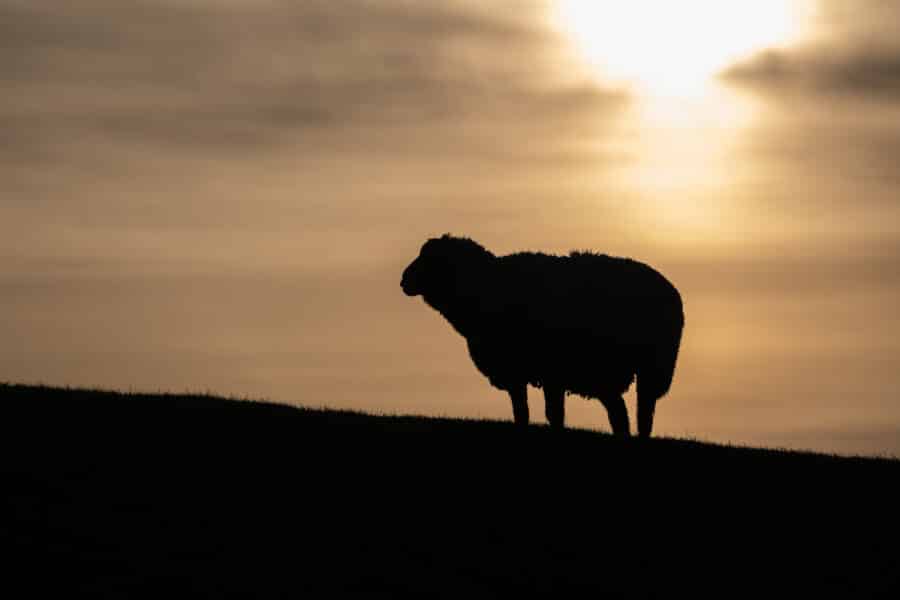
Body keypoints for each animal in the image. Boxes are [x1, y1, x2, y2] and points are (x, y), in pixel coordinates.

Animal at [400, 234, 684, 438]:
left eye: (428, 260)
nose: (403, 281)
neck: (484, 288)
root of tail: (671, 290)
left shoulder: (541, 371)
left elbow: (541, 412)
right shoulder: (530, 372)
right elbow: (527, 411)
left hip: (650, 367)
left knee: (642, 412)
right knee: (621, 413)